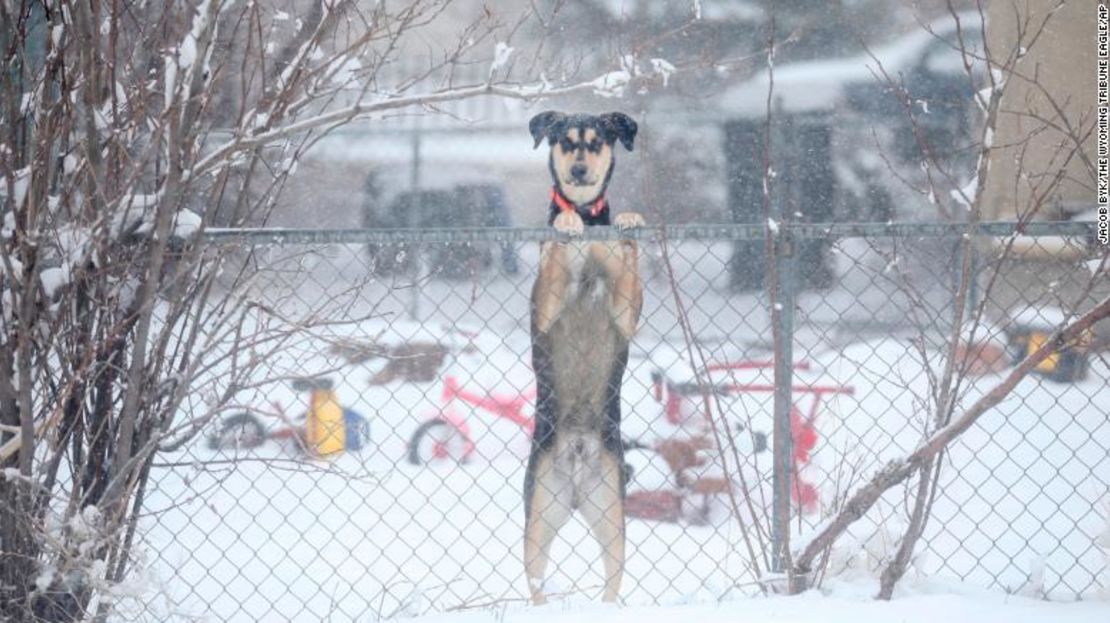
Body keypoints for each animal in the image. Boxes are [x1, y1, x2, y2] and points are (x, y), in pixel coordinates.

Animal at [523, 110, 648, 604]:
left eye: (596, 142)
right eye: (565, 141)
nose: (578, 170)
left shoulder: (626, 314)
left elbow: (629, 259)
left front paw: (630, 218)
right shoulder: (545, 307)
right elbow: (558, 247)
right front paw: (567, 222)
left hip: (612, 511)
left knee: (613, 578)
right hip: (539, 512)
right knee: (535, 578)